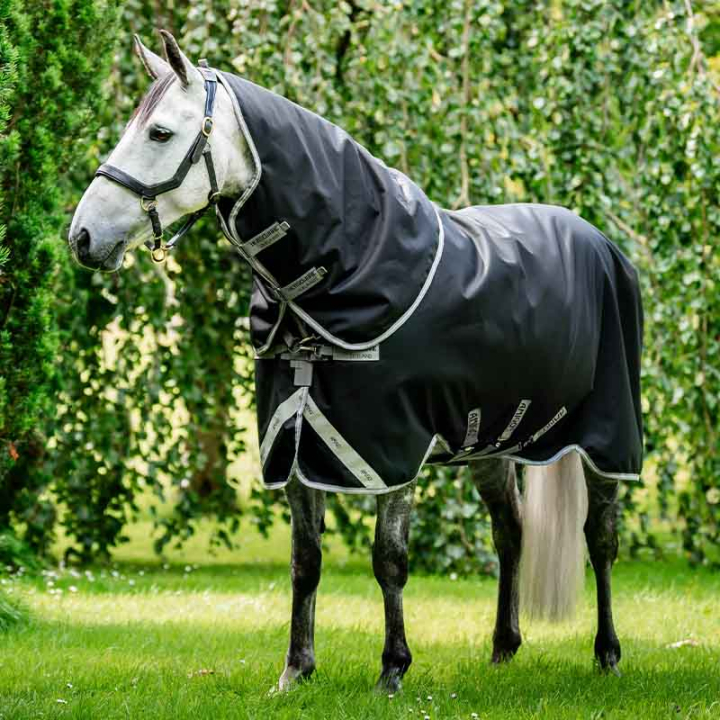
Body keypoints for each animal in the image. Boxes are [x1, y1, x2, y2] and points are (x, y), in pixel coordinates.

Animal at [69, 30, 643, 691]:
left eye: (160, 132)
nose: (82, 238)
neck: (344, 271)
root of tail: (599, 241)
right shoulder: (293, 442)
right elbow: (305, 560)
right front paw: (295, 671)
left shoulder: (393, 451)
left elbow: (388, 559)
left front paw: (393, 669)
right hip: (489, 443)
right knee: (511, 532)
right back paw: (503, 647)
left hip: (606, 438)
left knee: (601, 539)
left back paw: (608, 653)